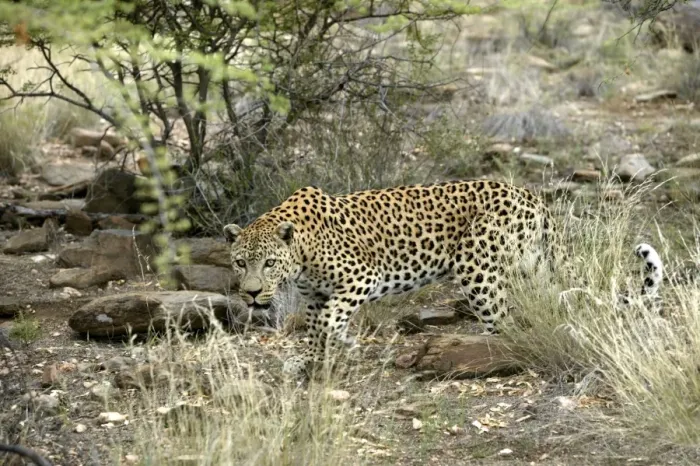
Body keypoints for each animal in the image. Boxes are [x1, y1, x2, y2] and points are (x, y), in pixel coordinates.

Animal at [223, 179, 664, 378]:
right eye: (241, 263)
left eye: (268, 264)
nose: (252, 295)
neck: (300, 252)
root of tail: (532, 196)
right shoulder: (316, 296)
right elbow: (317, 327)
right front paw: (313, 357)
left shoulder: (362, 277)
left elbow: (328, 321)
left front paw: (338, 344)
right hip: (533, 266)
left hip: (477, 267)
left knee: (503, 323)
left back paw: (482, 356)